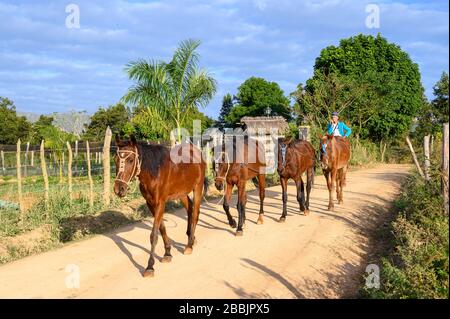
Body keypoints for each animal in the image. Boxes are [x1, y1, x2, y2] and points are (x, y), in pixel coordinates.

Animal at [115, 135, 208, 278]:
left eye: (131, 160)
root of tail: (197, 152)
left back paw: (189, 245)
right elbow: (162, 228)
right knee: (190, 209)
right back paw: (191, 238)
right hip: (182, 193)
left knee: (196, 213)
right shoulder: (151, 204)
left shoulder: (160, 203)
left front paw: (150, 266)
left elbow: (153, 234)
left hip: (197, 188)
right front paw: (167, 253)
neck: (154, 172)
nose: (119, 189)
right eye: (115, 159)